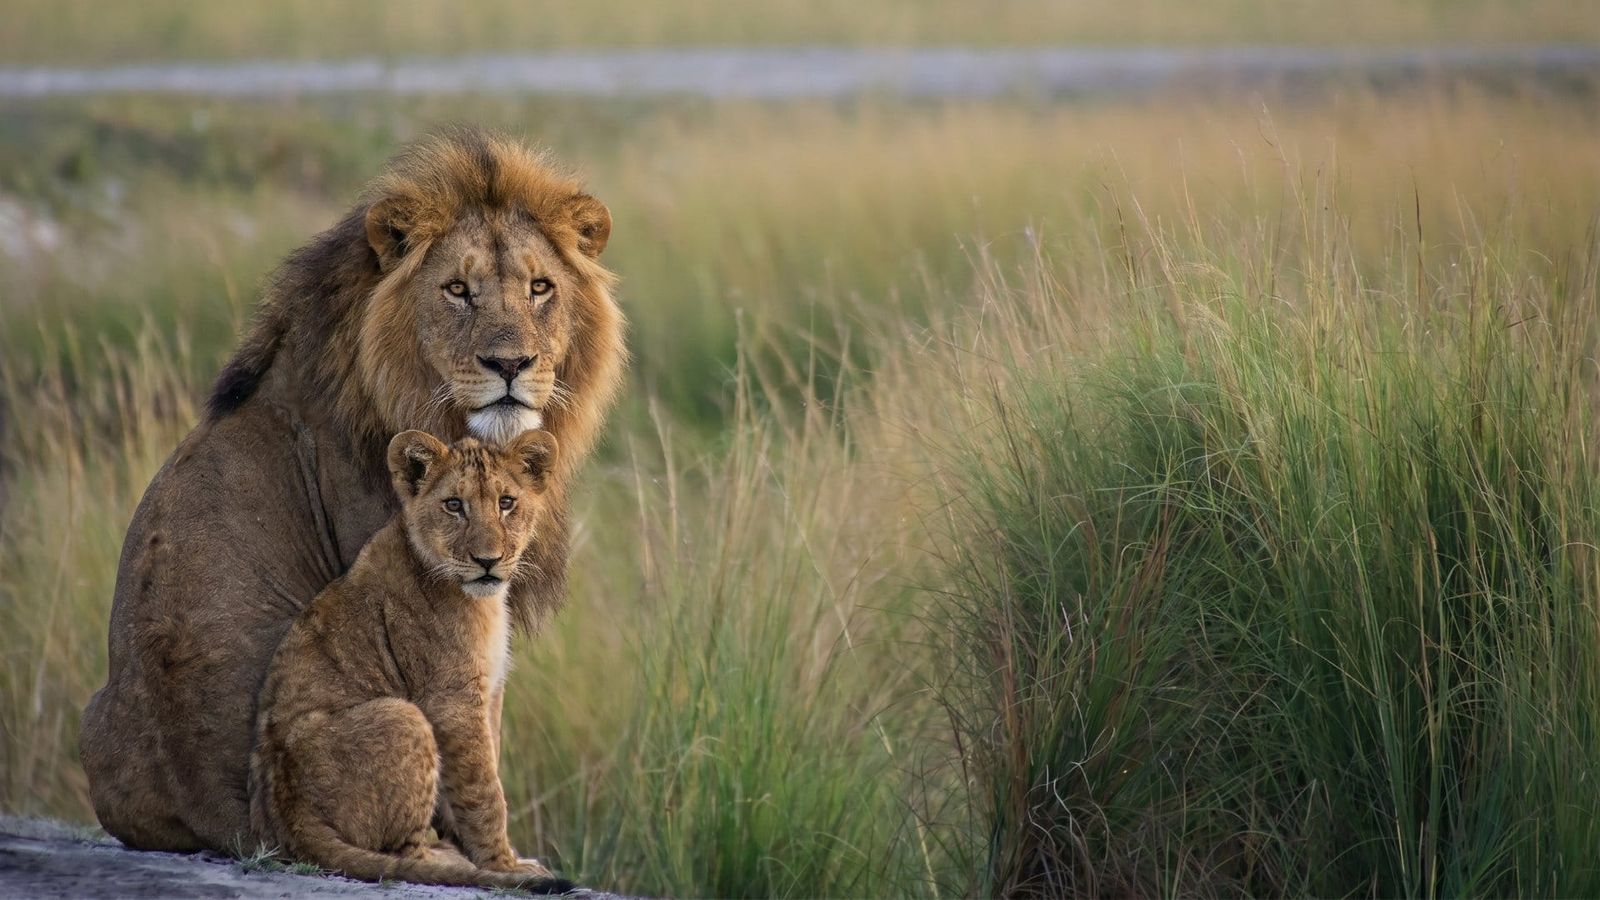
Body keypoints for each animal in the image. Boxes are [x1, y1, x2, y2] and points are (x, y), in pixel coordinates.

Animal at [250, 429, 569, 891]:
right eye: (454, 505)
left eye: (507, 502)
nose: (487, 561)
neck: (484, 602)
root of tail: (293, 816)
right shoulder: (451, 700)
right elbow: (485, 790)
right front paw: (504, 866)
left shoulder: (488, 691)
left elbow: (477, 775)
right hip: (403, 714)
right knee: (403, 853)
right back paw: (452, 862)